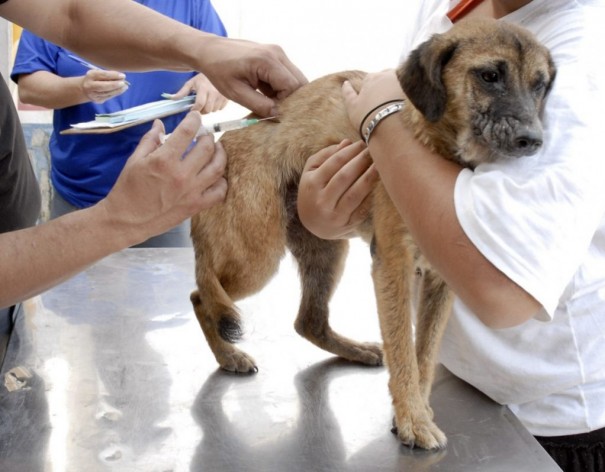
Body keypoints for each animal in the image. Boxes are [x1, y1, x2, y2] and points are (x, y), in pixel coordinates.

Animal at [188, 17, 552, 450]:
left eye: (540, 84)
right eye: (490, 76)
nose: (534, 141)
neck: (433, 143)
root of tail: (223, 142)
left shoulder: (440, 280)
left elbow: (424, 354)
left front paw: (415, 411)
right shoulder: (392, 263)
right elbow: (403, 350)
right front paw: (412, 417)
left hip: (327, 252)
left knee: (307, 321)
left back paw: (354, 350)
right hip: (257, 256)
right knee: (200, 297)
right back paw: (228, 355)